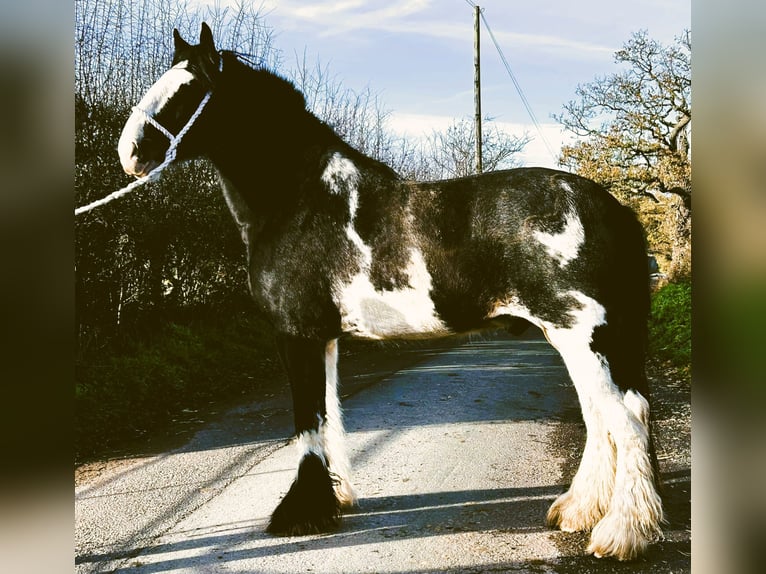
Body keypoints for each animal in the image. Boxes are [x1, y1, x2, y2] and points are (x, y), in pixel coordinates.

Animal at [117, 23, 664, 561]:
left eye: (186, 91)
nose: (129, 153)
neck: (301, 200)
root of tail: (612, 208)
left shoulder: (296, 334)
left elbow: (307, 422)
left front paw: (300, 514)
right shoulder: (324, 338)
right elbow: (330, 417)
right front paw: (334, 499)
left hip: (584, 335)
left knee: (627, 419)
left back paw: (621, 533)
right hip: (573, 338)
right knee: (602, 418)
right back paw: (579, 510)